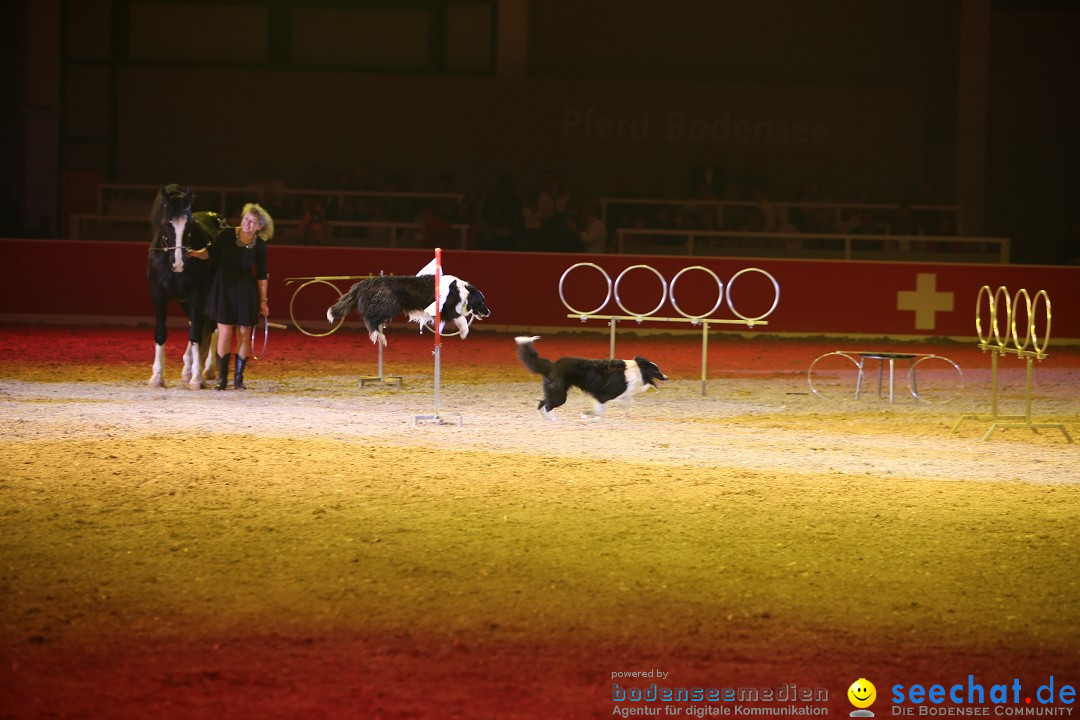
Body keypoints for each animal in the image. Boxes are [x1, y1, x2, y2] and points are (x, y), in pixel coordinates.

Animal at [146, 184, 224, 388]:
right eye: (167, 223)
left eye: (189, 225)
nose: (179, 263)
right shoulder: (158, 295)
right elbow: (161, 333)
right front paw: (157, 376)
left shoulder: (196, 295)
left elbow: (196, 334)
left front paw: (196, 379)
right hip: (185, 302)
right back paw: (188, 368)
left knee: (212, 327)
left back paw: (207, 369)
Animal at [326, 273, 492, 345]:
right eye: (482, 301)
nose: (489, 313)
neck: (465, 292)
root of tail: (364, 283)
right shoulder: (449, 309)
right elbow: (462, 320)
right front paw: (464, 333)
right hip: (390, 306)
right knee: (370, 319)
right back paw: (378, 336)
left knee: (373, 320)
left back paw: (380, 335)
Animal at [514, 338, 665, 423]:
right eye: (656, 371)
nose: (666, 377)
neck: (638, 370)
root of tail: (552, 365)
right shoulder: (603, 395)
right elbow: (600, 410)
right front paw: (587, 414)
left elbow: (627, 401)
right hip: (560, 394)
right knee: (547, 405)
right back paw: (552, 419)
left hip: (554, 392)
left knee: (542, 403)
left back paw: (548, 419)